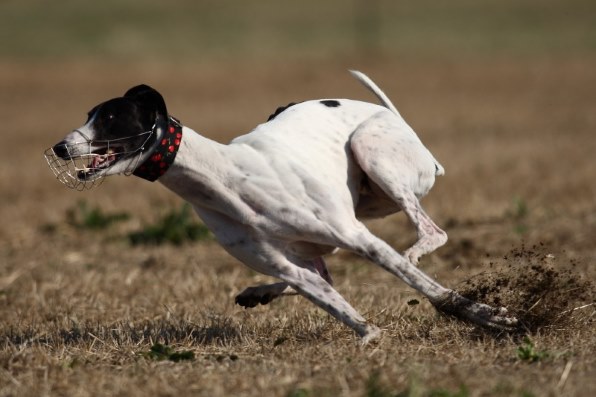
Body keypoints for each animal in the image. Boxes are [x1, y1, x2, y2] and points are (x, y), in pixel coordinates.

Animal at [45, 72, 516, 340]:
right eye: (88, 114)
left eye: (110, 118)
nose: (61, 147)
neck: (226, 177)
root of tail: (392, 115)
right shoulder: (287, 262)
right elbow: (329, 299)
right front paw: (369, 335)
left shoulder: (360, 238)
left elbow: (431, 289)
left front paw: (488, 315)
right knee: (320, 271)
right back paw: (260, 293)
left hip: (372, 157)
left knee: (430, 234)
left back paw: (416, 252)